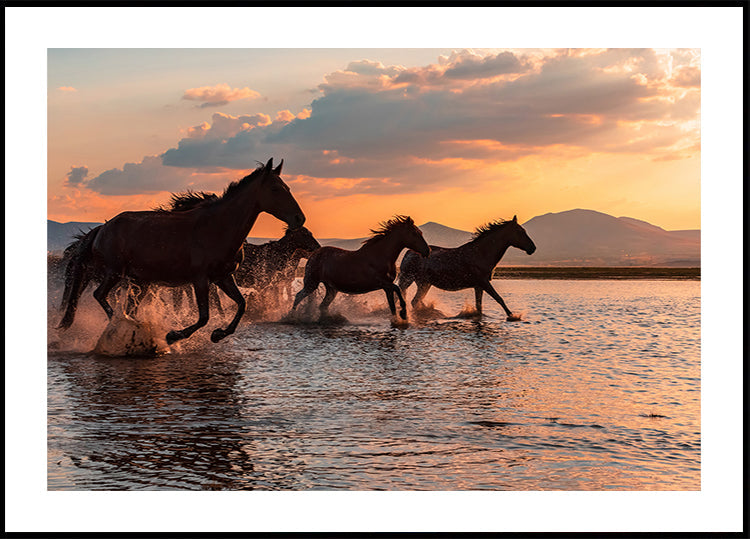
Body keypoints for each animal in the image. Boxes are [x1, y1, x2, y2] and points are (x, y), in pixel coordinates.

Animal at [58, 157, 305, 344]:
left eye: (288, 188)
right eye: (275, 189)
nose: (299, 218)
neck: (217, 227)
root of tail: (101, 228)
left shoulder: (224, 277)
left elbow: (241, 305)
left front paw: (218, 334)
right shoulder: (200, 279)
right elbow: (204, 316)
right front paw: (174, 335)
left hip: (139, 281)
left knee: (127, 305)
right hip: (115, 273)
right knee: (100, 295)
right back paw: (122, 325)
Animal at [291, 215, 430, 321]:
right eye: (414, 233)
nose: (427, 251)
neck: (381, 256)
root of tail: (313, 255)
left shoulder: (387, 287)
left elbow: (392, 305)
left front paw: (398, 319)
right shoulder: (382, 283)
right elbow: (398, 289)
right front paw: (404, 314)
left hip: (331, 289)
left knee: (322, 306)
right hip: (311, 283)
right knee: (298, 296)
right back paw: (291, 317)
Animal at [397, 216, 536, 321]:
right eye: (520, 231)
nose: (532, 248)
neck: (481, 254)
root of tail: (408, 253)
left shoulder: (478, 286)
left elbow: (479, 307)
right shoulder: (484, 282)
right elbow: (499, 299)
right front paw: (513, 316)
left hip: (424, 283)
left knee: (416, 301)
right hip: (411, 280)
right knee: (411, 300)